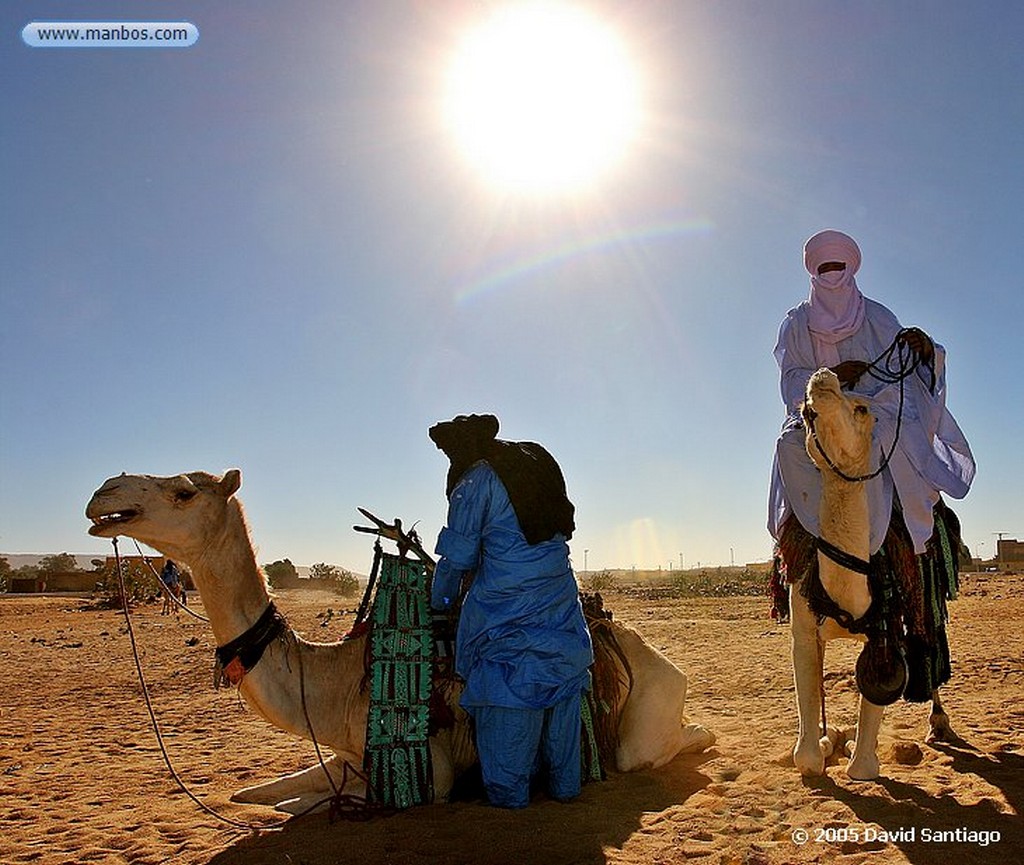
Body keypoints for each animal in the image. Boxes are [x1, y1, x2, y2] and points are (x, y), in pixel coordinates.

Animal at [86, 464, 712, 810]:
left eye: (184, 492)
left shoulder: (429, 772)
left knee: (656, 746)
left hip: (644, 720)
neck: (334, 684)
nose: (104, 492)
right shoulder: (345, 753)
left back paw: (702, 734)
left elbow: (293, 805)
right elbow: (263, 792)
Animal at [790, 368, 950, 777]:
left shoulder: (885, 627)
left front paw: (859, 754)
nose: (822, 378)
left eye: (861, 408)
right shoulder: (803, 627)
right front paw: (823, 744)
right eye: (804, 416)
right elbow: (807, 748)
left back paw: (939, 724)